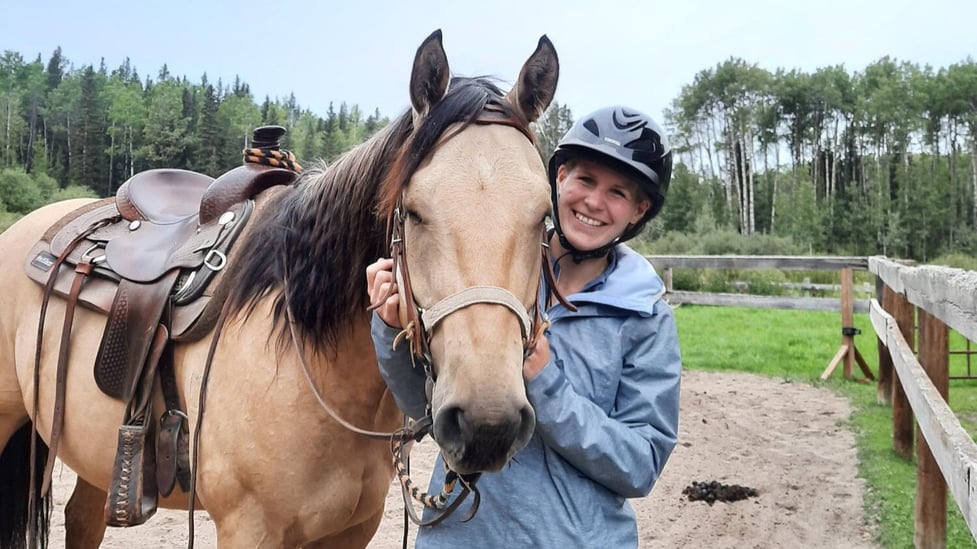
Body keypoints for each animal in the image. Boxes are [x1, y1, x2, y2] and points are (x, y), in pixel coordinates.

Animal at [0, 29, 559, 548]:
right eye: (416, 212)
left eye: (543, 217)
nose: (487, 424)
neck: (311, 362)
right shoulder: (249, 527)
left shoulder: (351, 530)